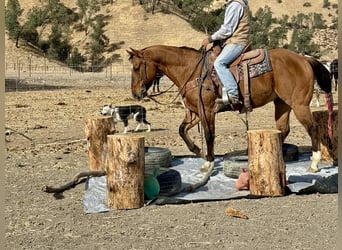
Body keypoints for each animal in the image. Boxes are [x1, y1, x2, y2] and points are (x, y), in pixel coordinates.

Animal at [127, 45, 332, 173]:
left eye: (136, 67)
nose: (136, 93)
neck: (191, 71)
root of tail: (304, 59)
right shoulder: (194, 112)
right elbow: (181, 130)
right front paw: (197, 151)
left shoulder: (207, 110)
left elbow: (209, 135)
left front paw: (208, 163)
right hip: (282, 104)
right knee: (283, 130)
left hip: (299, 105)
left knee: (313, 128)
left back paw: (314, 164)